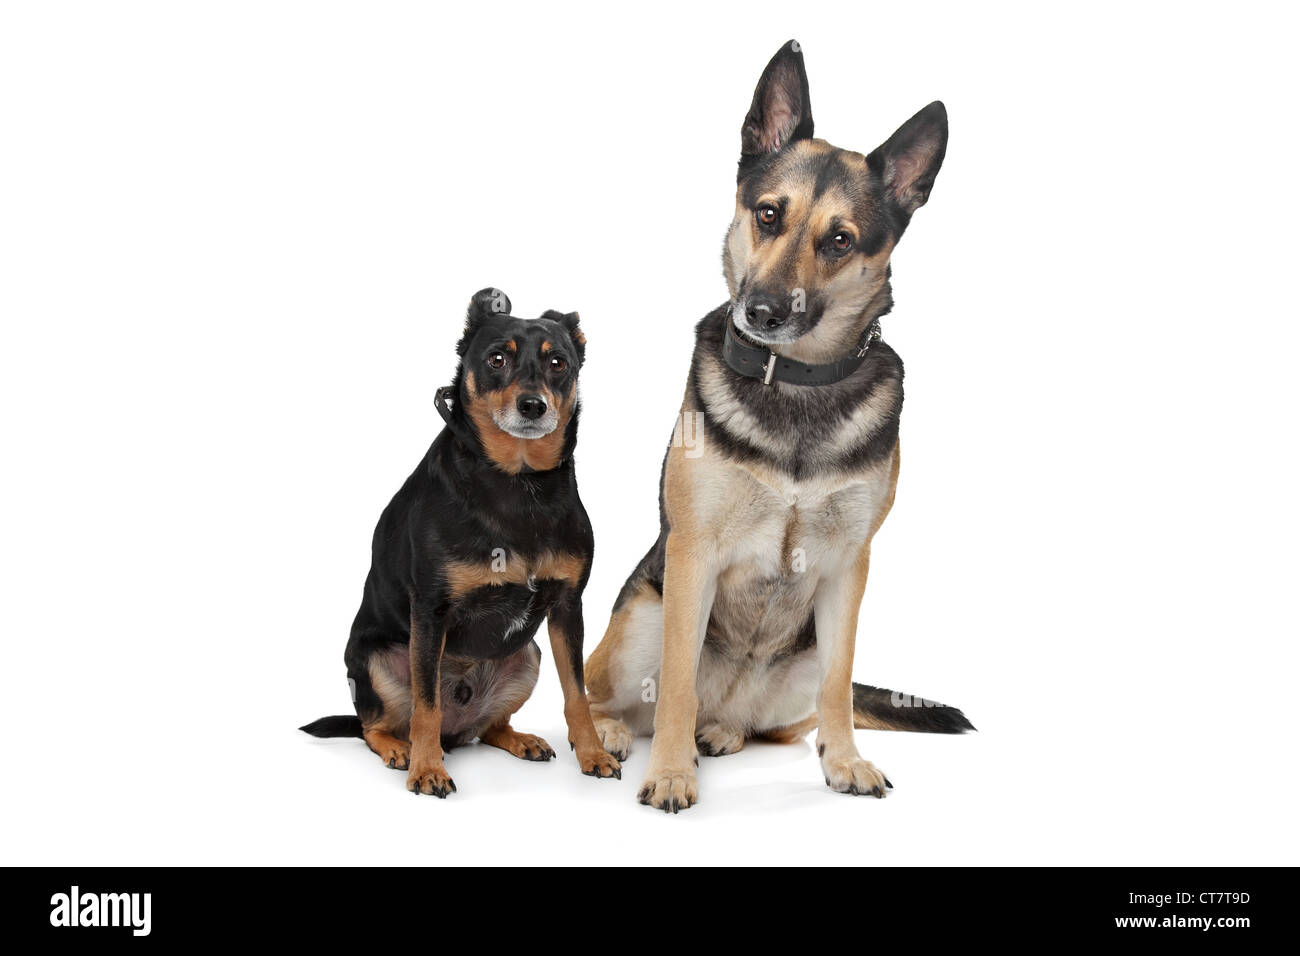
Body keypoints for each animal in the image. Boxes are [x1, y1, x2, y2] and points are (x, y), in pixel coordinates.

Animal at [309, 287, 624, 796]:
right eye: (497, 358)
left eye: (558, 362)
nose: (533, 405)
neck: (517, 481)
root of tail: (458, 733)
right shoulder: (430, 611)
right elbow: (426, 704)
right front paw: (427, 771)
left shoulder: (567, 606)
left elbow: (576, 693)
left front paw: (593, 754)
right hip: (375, 661)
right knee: (376, 725)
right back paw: (401, 750)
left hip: (528, 656)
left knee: (489, 727)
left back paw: (519, 740)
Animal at [585, 41, 972, 811]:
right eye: (767, 214)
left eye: (840, 241)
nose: (760, 312)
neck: (794, 383)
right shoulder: (692, 557)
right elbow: (675, 685)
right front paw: (668, 772)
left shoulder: (849, 571)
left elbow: (839, 688)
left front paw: (844, 761)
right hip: (641, 617)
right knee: (604, 693)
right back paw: (620, 735)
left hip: (801, 656)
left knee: (775, 720)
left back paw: (723, 733)